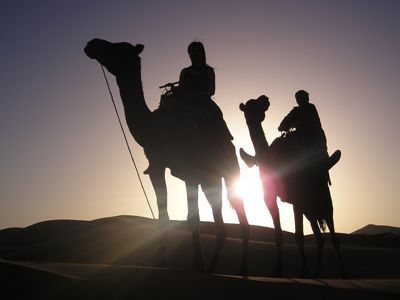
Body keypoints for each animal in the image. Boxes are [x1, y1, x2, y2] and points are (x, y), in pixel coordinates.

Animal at [83, 38, 248, 274]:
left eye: (119, 47)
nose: (92, 44)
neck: (155, 129)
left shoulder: (190, 172)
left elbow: (193, 218)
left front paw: (196, 265)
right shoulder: (157, 167)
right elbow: (164, 217)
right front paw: (159, 264)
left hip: (229, 168)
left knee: (240, 213)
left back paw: (241, 269)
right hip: (211, 179)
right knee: (221, 224)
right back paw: (212, 267)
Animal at [238, 95, 346, 278]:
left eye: (258, 103)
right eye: (251, 105)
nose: (265, 98)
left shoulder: (297, 199)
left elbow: (299, 236)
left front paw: (304, 271)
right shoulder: (269, 197)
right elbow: (279, 235)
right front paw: (278, 271)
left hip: (324, 201)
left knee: (333, 233)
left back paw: (343, 272)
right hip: (310, 210)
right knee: (320, 237)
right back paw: (317, 271)